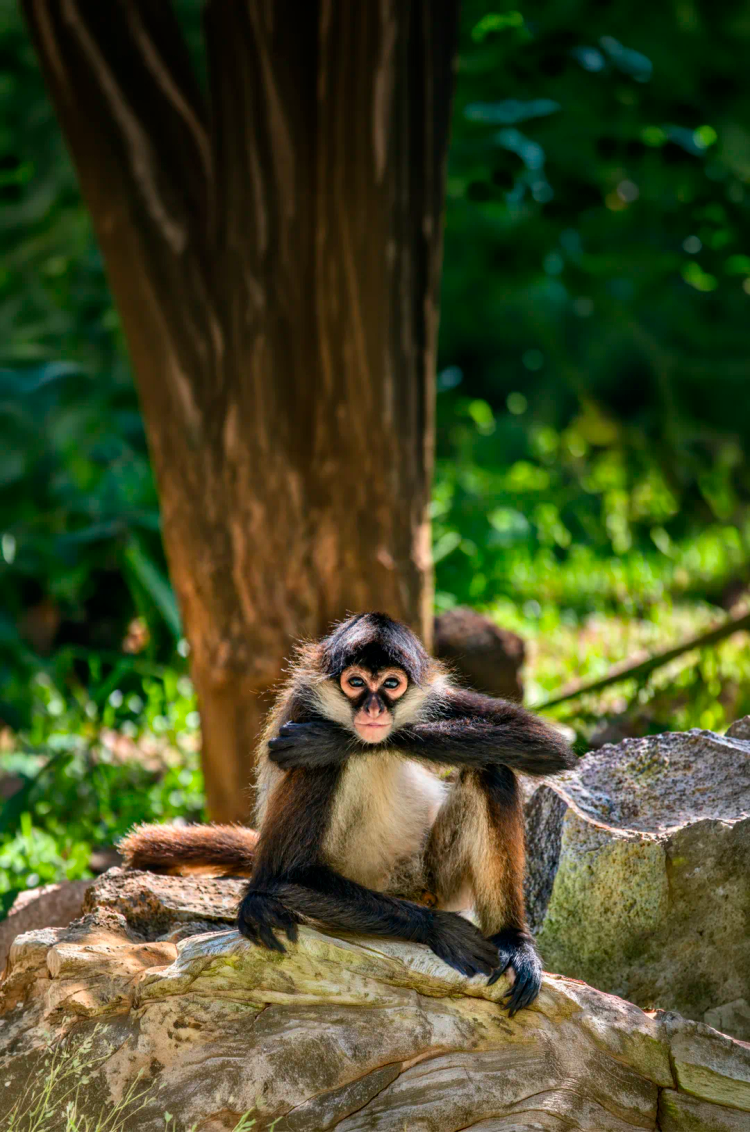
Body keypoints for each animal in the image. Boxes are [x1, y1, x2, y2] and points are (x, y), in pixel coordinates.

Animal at [120, 612, 574, 1015]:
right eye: (356, 683)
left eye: (391, 684)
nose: (373, 710)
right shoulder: (302, 712)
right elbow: (280, 878)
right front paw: (440, 929)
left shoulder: (431, 701)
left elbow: (544, 742)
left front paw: (328, 740)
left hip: (437, 880)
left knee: (491, 769)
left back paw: (513, 942)